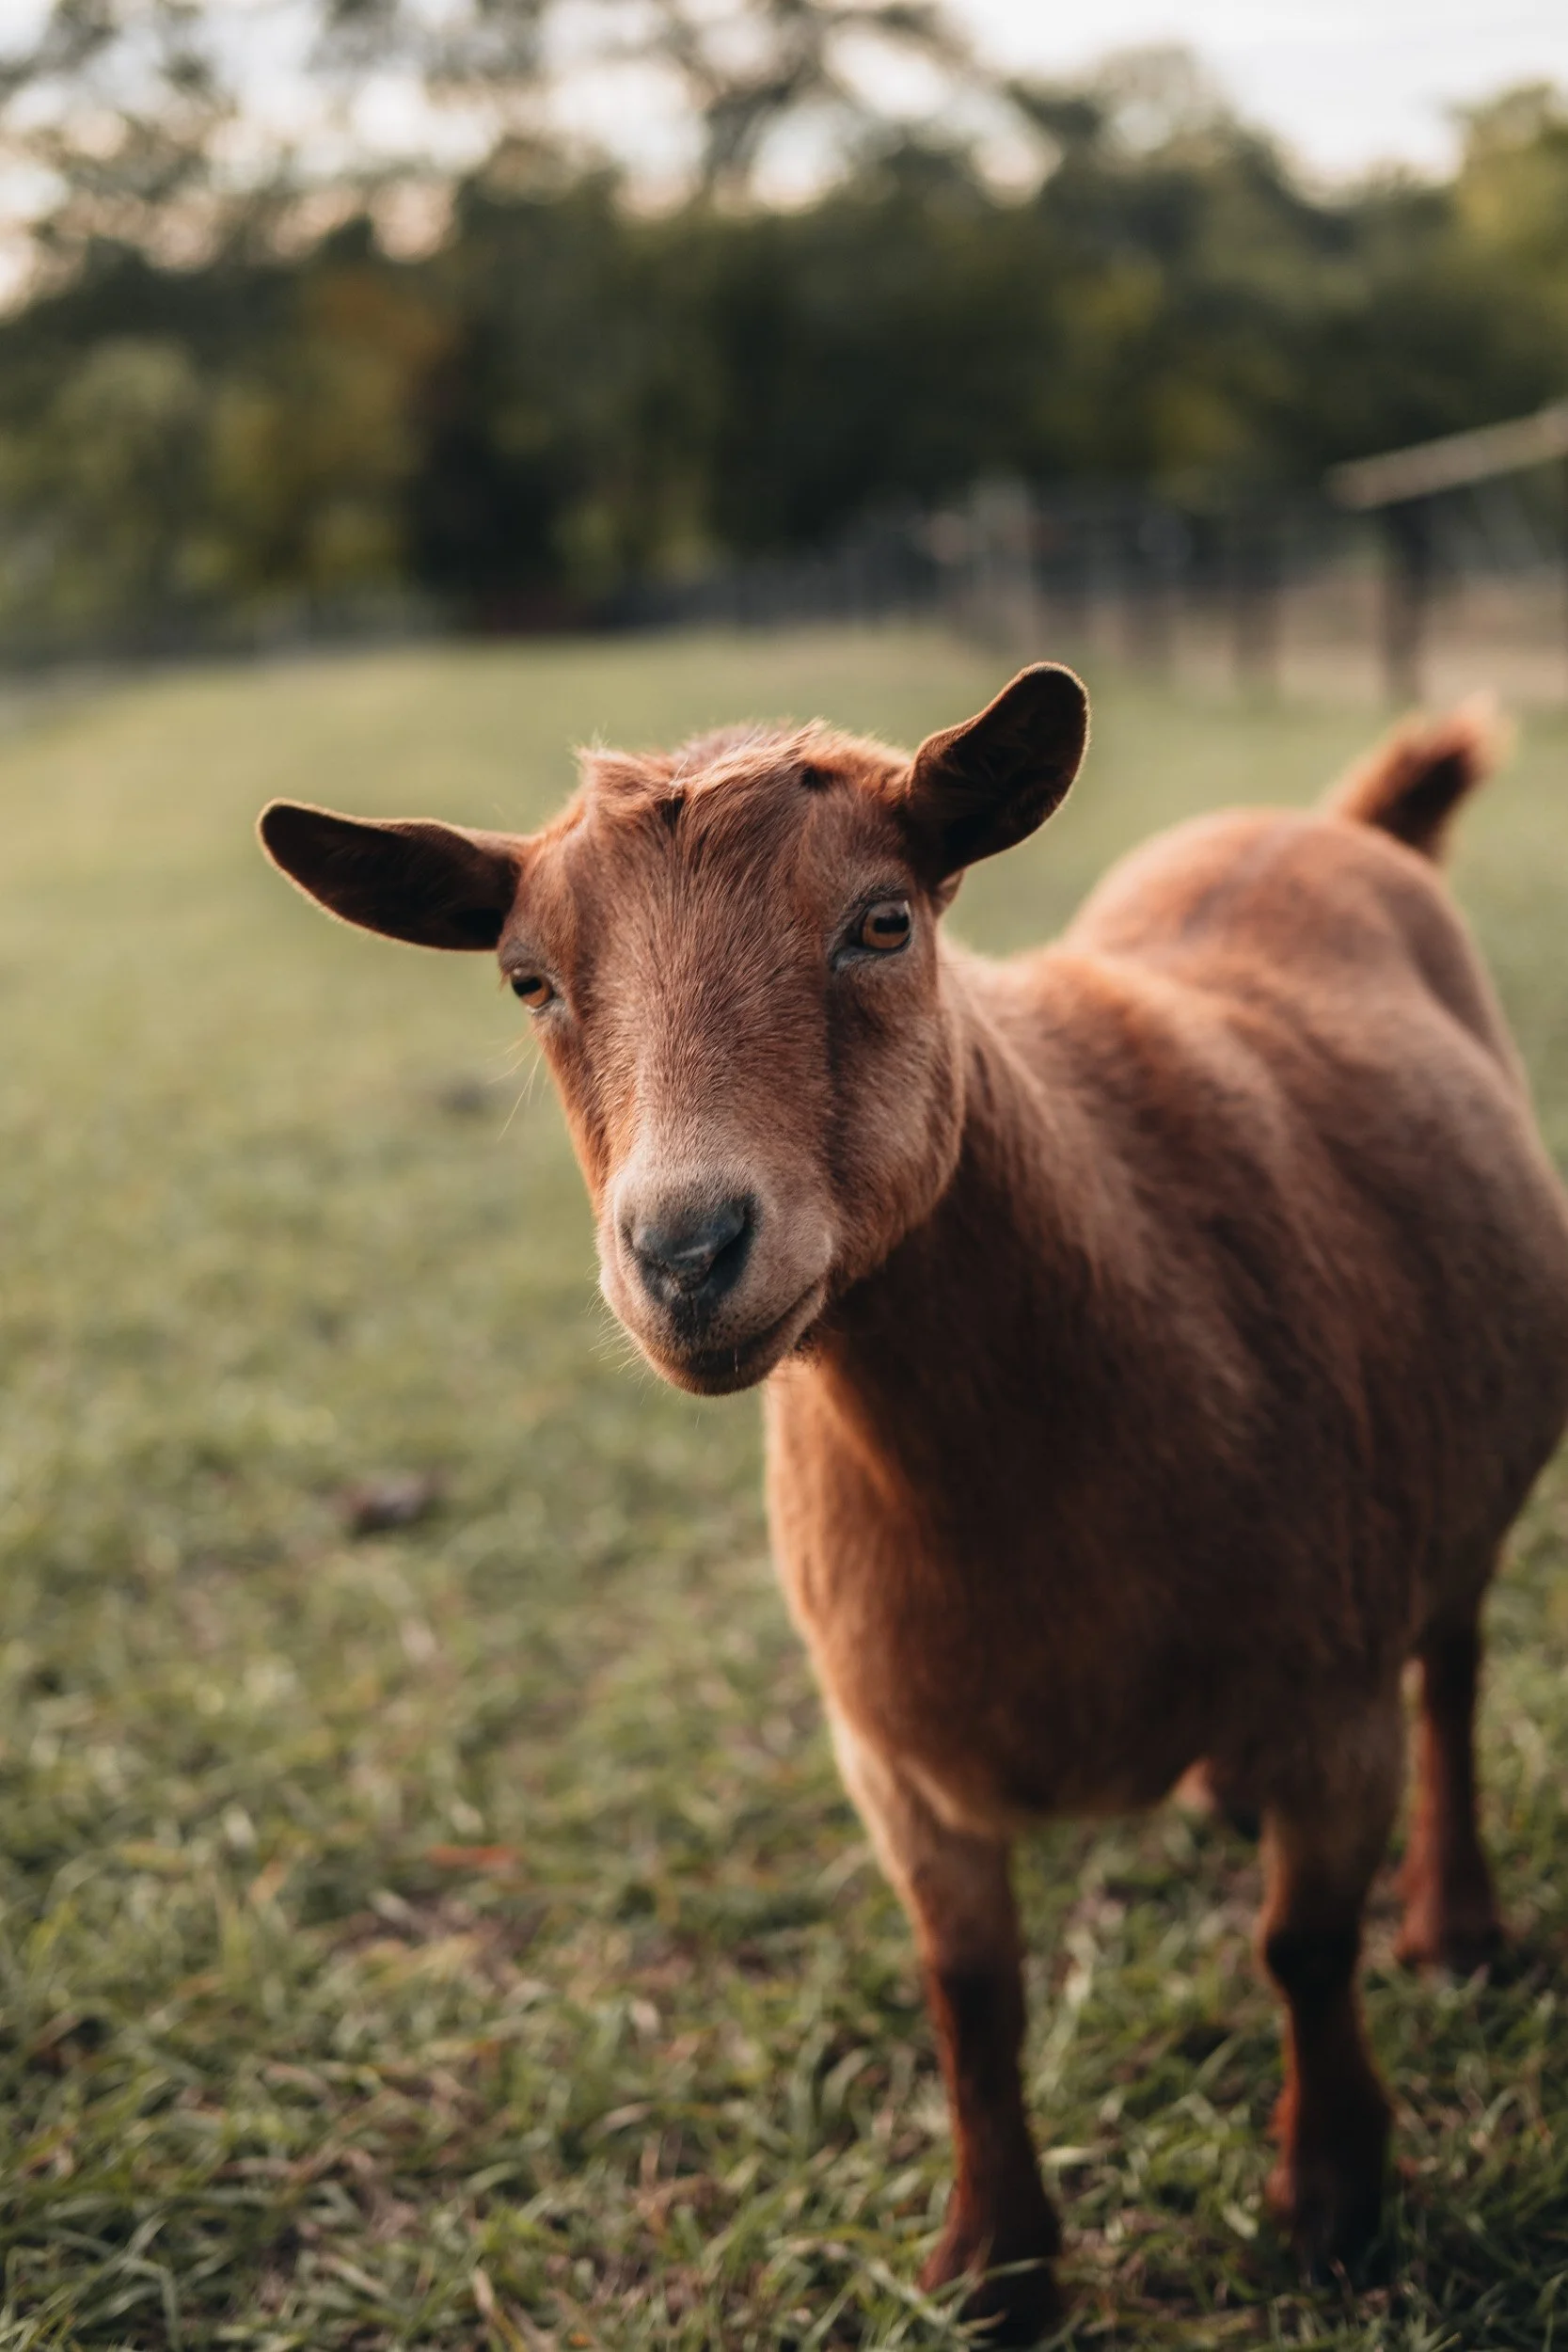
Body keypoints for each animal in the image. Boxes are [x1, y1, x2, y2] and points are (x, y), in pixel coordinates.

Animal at [259, 668, 1568, 2339]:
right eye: (527, 981)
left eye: (880, 923)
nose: (684, 1252)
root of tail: (1337, 823)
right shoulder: (889, 1756)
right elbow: (971, 1996)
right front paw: (992, 2264)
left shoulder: (1328, 1696)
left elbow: (1302, 1946)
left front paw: (1330, 2204)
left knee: (1451, 1672)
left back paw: (1453, 1926)